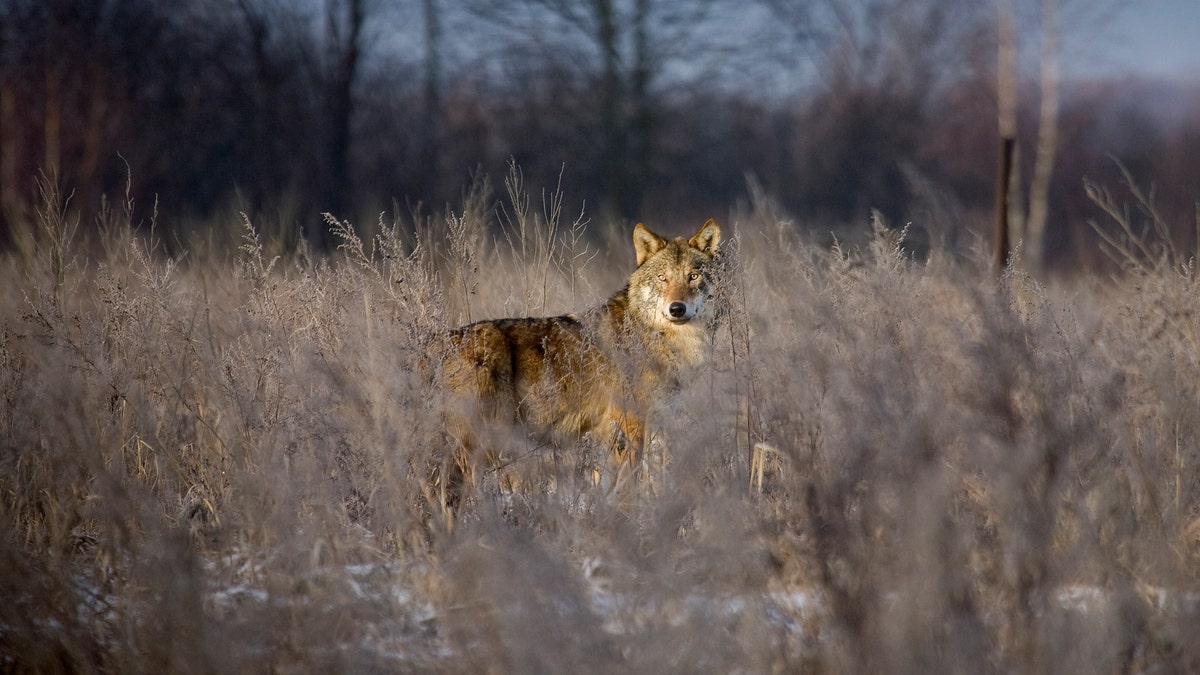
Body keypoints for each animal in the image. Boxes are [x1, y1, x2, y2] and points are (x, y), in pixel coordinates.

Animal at [439, 218, 724, 502]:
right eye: (662, 278)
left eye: (693, 276)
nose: (677, 309)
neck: (659, 338)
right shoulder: (628, 428)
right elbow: (628, 486)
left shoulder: (650, 426)